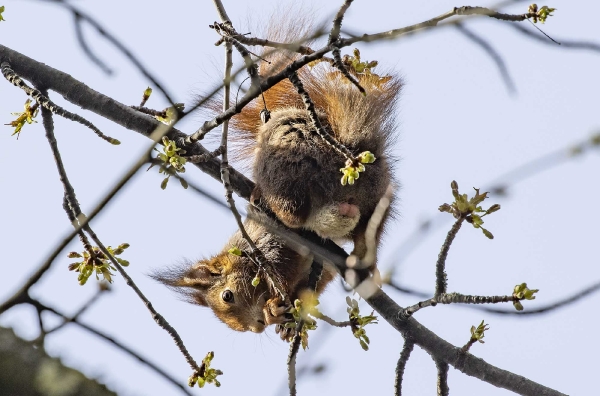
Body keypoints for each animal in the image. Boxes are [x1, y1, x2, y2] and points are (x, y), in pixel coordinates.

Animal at [152, 17, 400, 336]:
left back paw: (263, 199)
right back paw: (363, 259)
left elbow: (281, 268)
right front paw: (284, 316)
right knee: (371, 224)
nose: (256, 327)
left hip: (285, 162)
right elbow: (314, 282)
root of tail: (349, 158)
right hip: (375, 194)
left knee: (292, 212)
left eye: (227, 296)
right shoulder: (320, 264)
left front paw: (272, 308)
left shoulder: (269, 245)